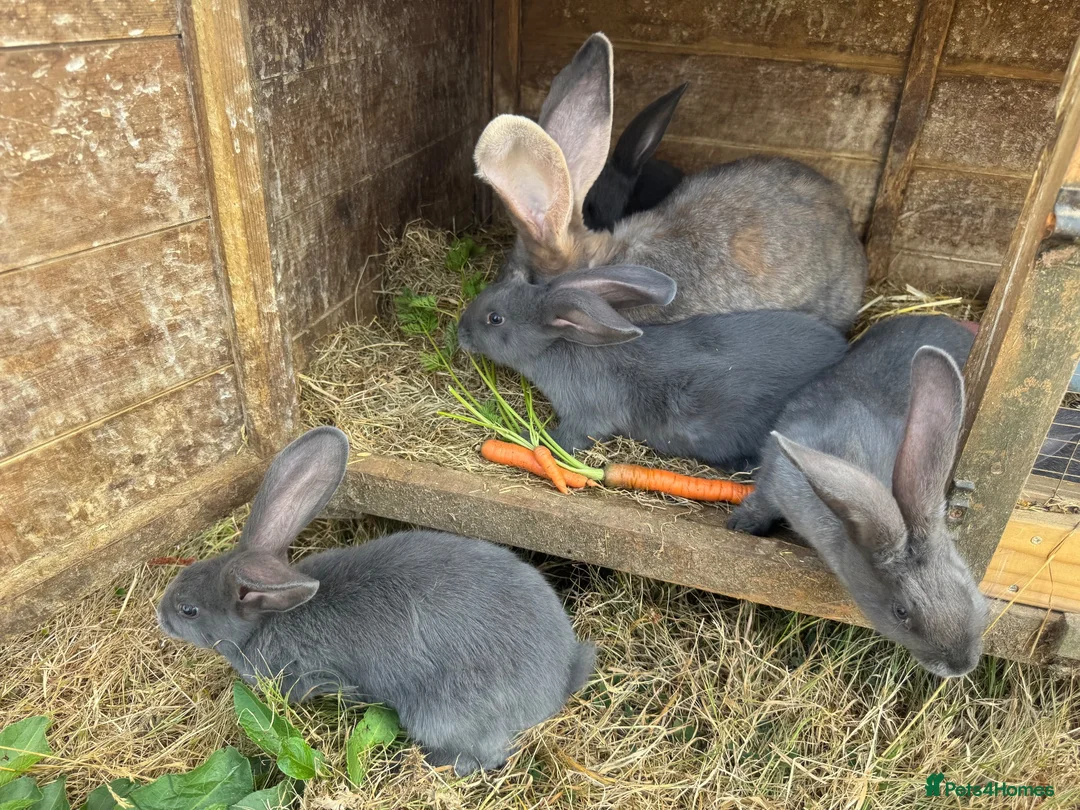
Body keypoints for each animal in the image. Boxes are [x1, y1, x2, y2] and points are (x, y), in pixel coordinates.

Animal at [157, 427, 595, 776]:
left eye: (189, 610)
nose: (160, 615)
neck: (266, 619)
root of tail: (560, 679)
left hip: (442, 714)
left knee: (483, 755)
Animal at [456, 264, 848, 468]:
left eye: (495, 318)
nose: (460, 332)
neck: (561, 344)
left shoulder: (586, 416)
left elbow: (564, 440)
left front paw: (524, 439)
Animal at [727, 315, 988, 677]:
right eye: (900, 612)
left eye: (967, 584)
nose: (961, 666)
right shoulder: (775, 477)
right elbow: (761, 502)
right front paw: (740, 525)